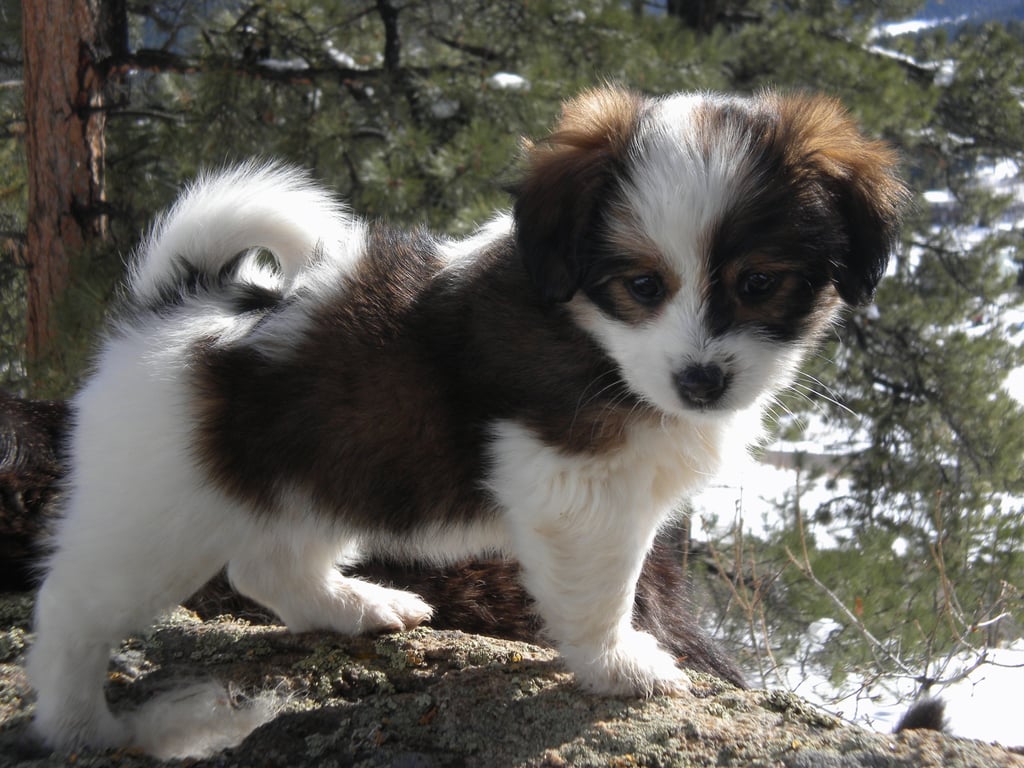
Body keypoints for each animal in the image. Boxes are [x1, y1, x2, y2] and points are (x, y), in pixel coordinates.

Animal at [25, 87, 905, 753]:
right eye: (643, 285)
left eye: (758, 283)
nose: (700, 381)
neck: (594, 337)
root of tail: (181, 299)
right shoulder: (573, 489)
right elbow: (605, 590)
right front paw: (620, 665)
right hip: (151, 519)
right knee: (72, 611)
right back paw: (87, 729)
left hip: (326, 472)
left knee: (268, 567)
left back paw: (356, 608)